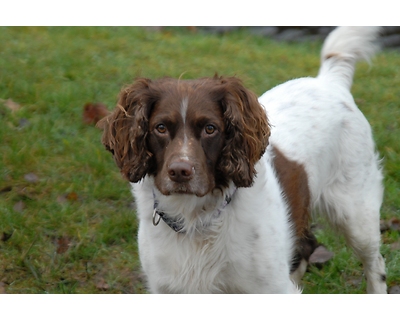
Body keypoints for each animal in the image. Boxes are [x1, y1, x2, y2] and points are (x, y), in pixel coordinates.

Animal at [97, 27, 388, 292]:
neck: (195, 217)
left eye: (210, 128)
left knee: (376, 264)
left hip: (357, 215)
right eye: (160, 128)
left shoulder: (271, 287)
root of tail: (329, 81)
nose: (180, 171)